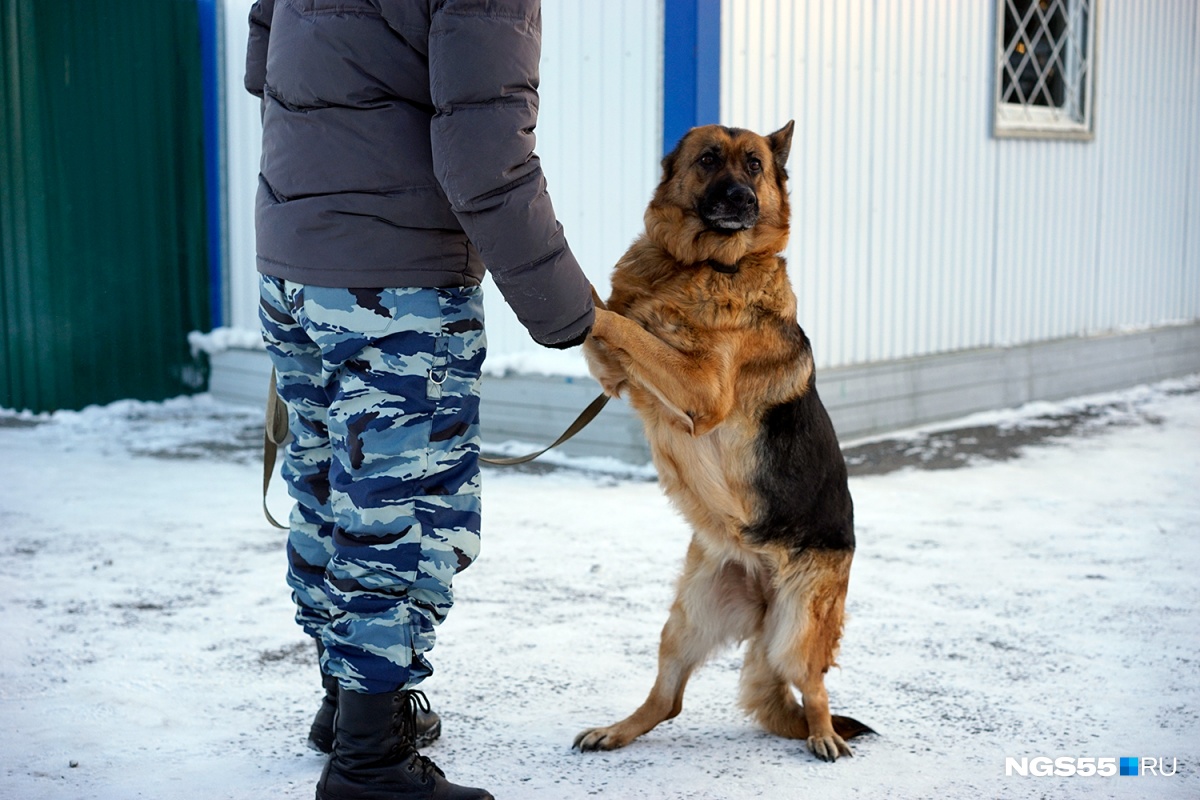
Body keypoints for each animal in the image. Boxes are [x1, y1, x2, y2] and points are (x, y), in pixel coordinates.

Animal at [576, 122, 868, 762]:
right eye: (710, 159)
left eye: (754, 165)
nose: (739, 198)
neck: (701, 265)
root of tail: (762, 592)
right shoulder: (612, 377)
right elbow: (617, 317)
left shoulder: (701, 389)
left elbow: (624, 323)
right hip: (685, 619)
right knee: (668, 700)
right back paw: (617, 731)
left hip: (797, 629)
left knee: (813, 685)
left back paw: (824, 735)